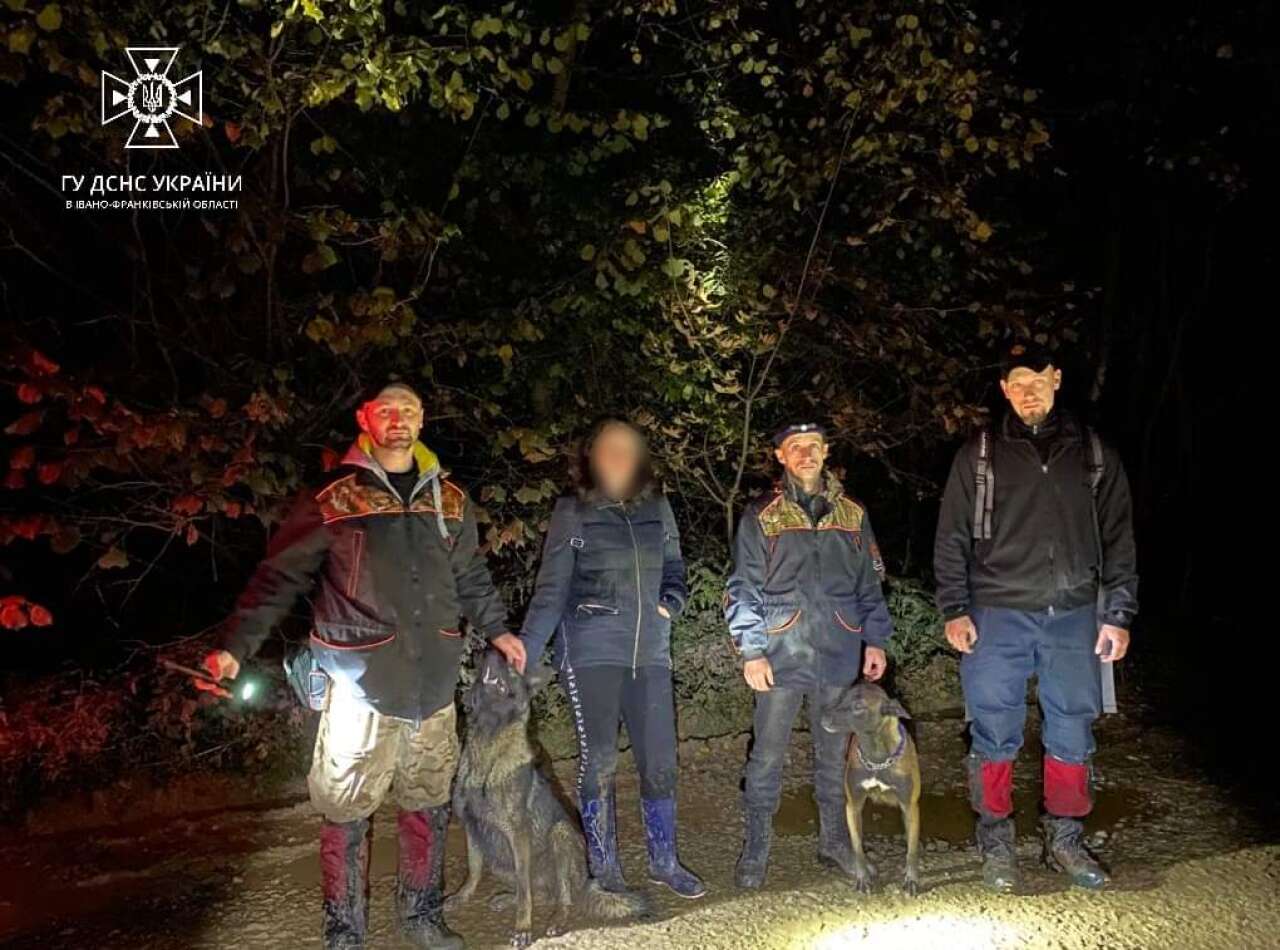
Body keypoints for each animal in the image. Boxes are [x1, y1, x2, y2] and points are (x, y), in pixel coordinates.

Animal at [449, 651, 647, 947]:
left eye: (511, 668)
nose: (494, 650)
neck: (487, 746)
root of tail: (587, 883)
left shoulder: (518, 836)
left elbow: (524, 892)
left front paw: (523, 928)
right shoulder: (473, 829)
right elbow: (473, 871)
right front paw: (462, 896)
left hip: (561, 836)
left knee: (562, 898)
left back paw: (557, 920)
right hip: (500, 862)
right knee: (539, 893)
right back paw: (508, 898)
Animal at [820, 681, 922, 896]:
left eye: (859, 706)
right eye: (842, 697)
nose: (823, 717)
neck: (877, 757)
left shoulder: (911, 806)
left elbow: (912, 850)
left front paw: (911, 880)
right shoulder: (853, 806)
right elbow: (858, 848)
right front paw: (863, 878)